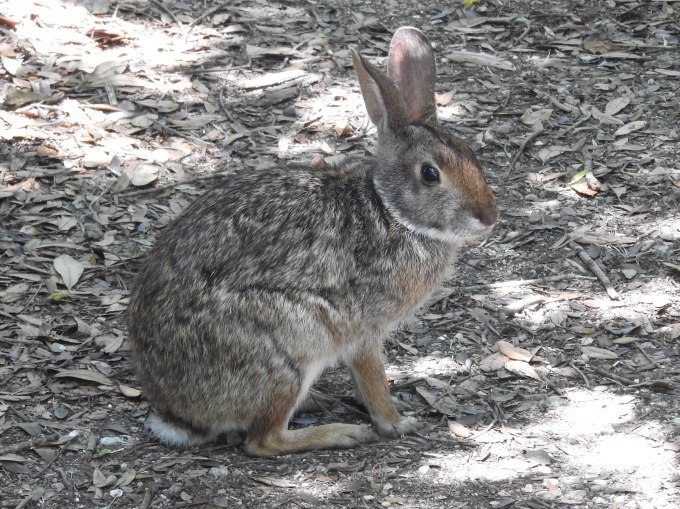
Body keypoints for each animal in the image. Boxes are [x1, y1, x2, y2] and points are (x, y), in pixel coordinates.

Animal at [127, 26, 498, 457]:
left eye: (471, 156)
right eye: (430, 174)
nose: (489, 217)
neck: (390, 211)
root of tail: (179, 416)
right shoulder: (364, 330)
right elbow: (373, 378)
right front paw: (396, 422)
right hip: (292, 348)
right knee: (262, 440)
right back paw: (340, 432)